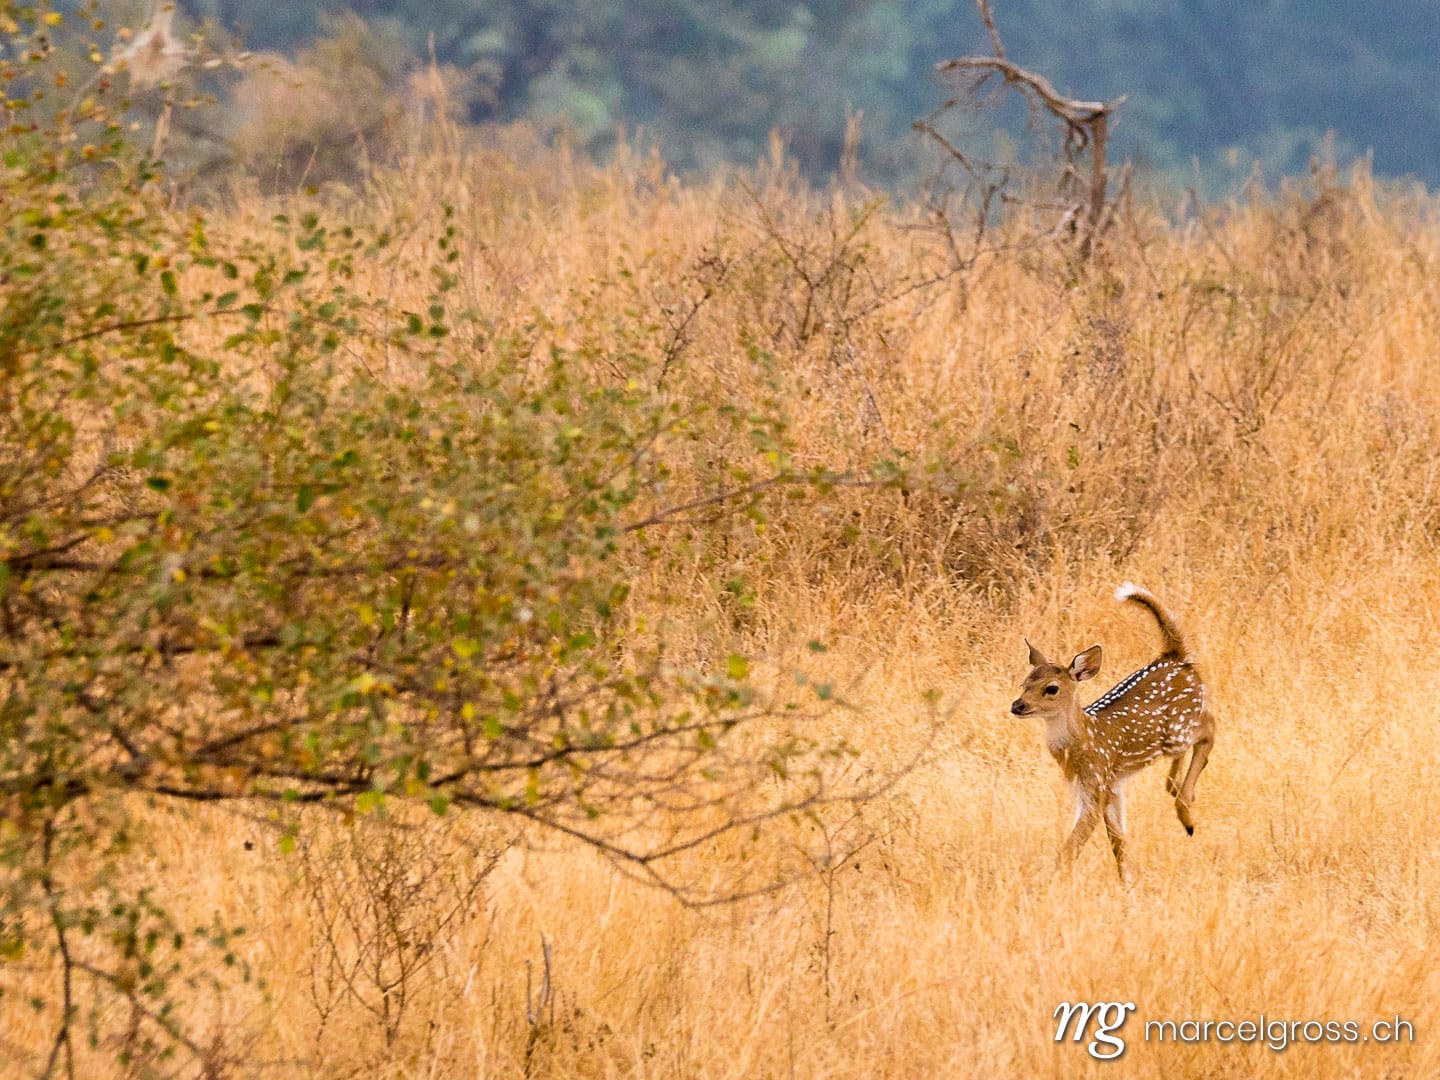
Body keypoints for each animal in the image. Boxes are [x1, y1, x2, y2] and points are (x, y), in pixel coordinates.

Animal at [1009, 583, 1216, 880]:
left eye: (1051, 688)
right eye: (1024, 684)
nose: (1017, 705)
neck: (1086, 739)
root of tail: (1177, 656)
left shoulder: (1097, 784)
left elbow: (1072, 847)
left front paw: (1053, 881)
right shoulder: (1108, 787)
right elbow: (1118, 842)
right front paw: (1127, 882)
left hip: (1178, 730)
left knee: (1209, 728)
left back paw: (1186, 813)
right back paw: (1176, 790)